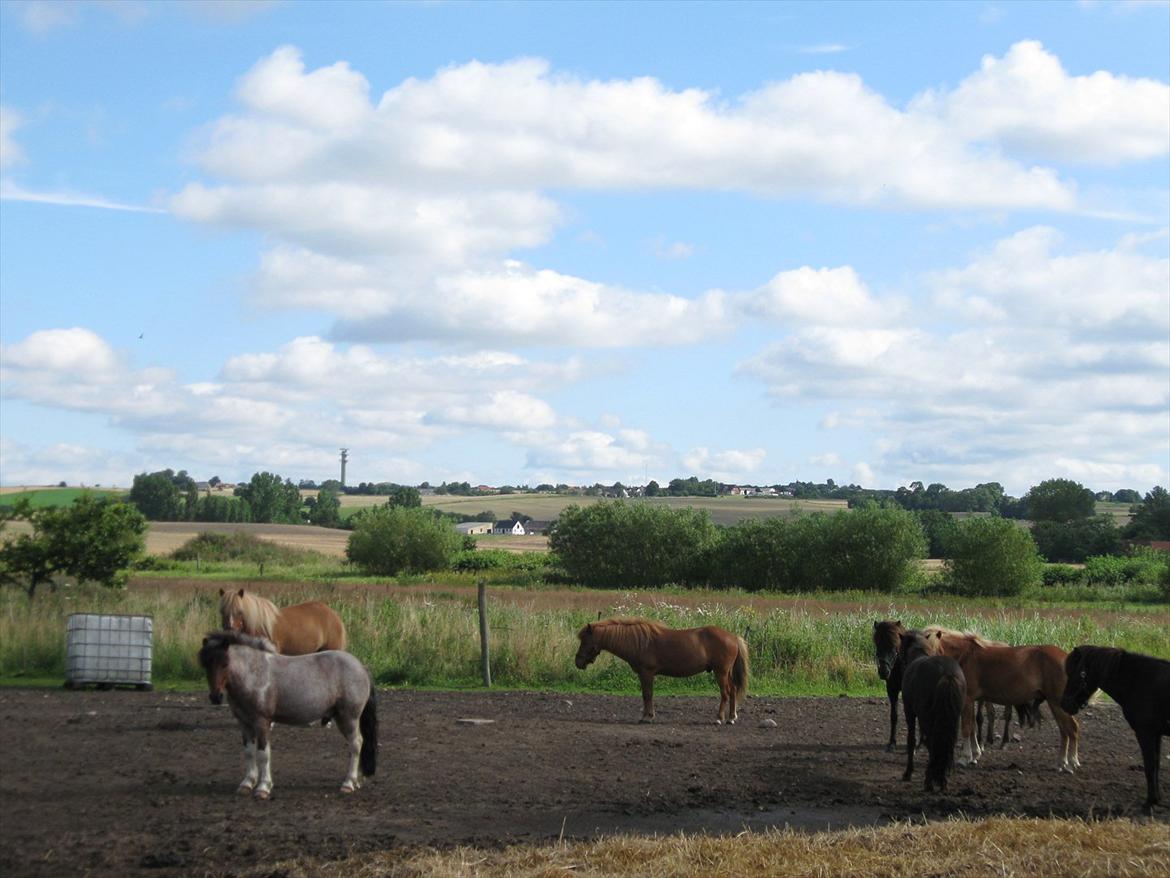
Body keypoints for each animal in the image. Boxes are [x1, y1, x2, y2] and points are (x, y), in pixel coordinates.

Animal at [194, 627, 372, 800]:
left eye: (225, 664)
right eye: (206, 665)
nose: (216, 697)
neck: (254, 674)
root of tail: (361, 667)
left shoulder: (261, 722)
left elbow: (263, 753)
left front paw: (263, 787)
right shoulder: (244, 724)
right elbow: (249, 752)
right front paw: (247, 783)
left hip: (349, 718)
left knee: (356, 744)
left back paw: (348, 783)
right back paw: (355, 781)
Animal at [575, 613, 748, 725]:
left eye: (585, 641)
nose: (578, 662)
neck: (639, 642)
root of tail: (733, 637)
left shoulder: (647, 673)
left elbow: (647, 694)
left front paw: (647, 717)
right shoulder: (645, 674)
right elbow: (647, 695)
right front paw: (648, 715)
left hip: (721, 672)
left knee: (725, 693)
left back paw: (719, 718)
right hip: (726, 673)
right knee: (733, 690)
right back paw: (732, 717)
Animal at [898, 627, 964, 796]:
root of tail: (947, 674)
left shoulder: (911, 712)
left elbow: (912, 740)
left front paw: (908, 773)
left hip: (927, 718)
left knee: (933, 743)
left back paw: (929, 781)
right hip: (953, 720)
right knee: (947, 745)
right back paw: (942, 781)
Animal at [921, 632, 1076, 767]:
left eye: (937, 650)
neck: (965, 656)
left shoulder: (968, 699)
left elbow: (966, 728)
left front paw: (965, 758)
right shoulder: (971, 701)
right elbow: (972, 727)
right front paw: (975, 754)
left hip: (1057, 703)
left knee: (1070, 728)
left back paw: (1070, 762)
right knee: (1067, 729)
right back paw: (1064, 762)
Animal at [1062, 641, 1170, 814]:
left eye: (1078, 673)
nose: (1065, 704)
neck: (1139, 681)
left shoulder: (1145, 733)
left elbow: (1150, 766)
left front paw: (1149, 803)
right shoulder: (1156, 734)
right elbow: (1156, 766)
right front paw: (1156, 800)